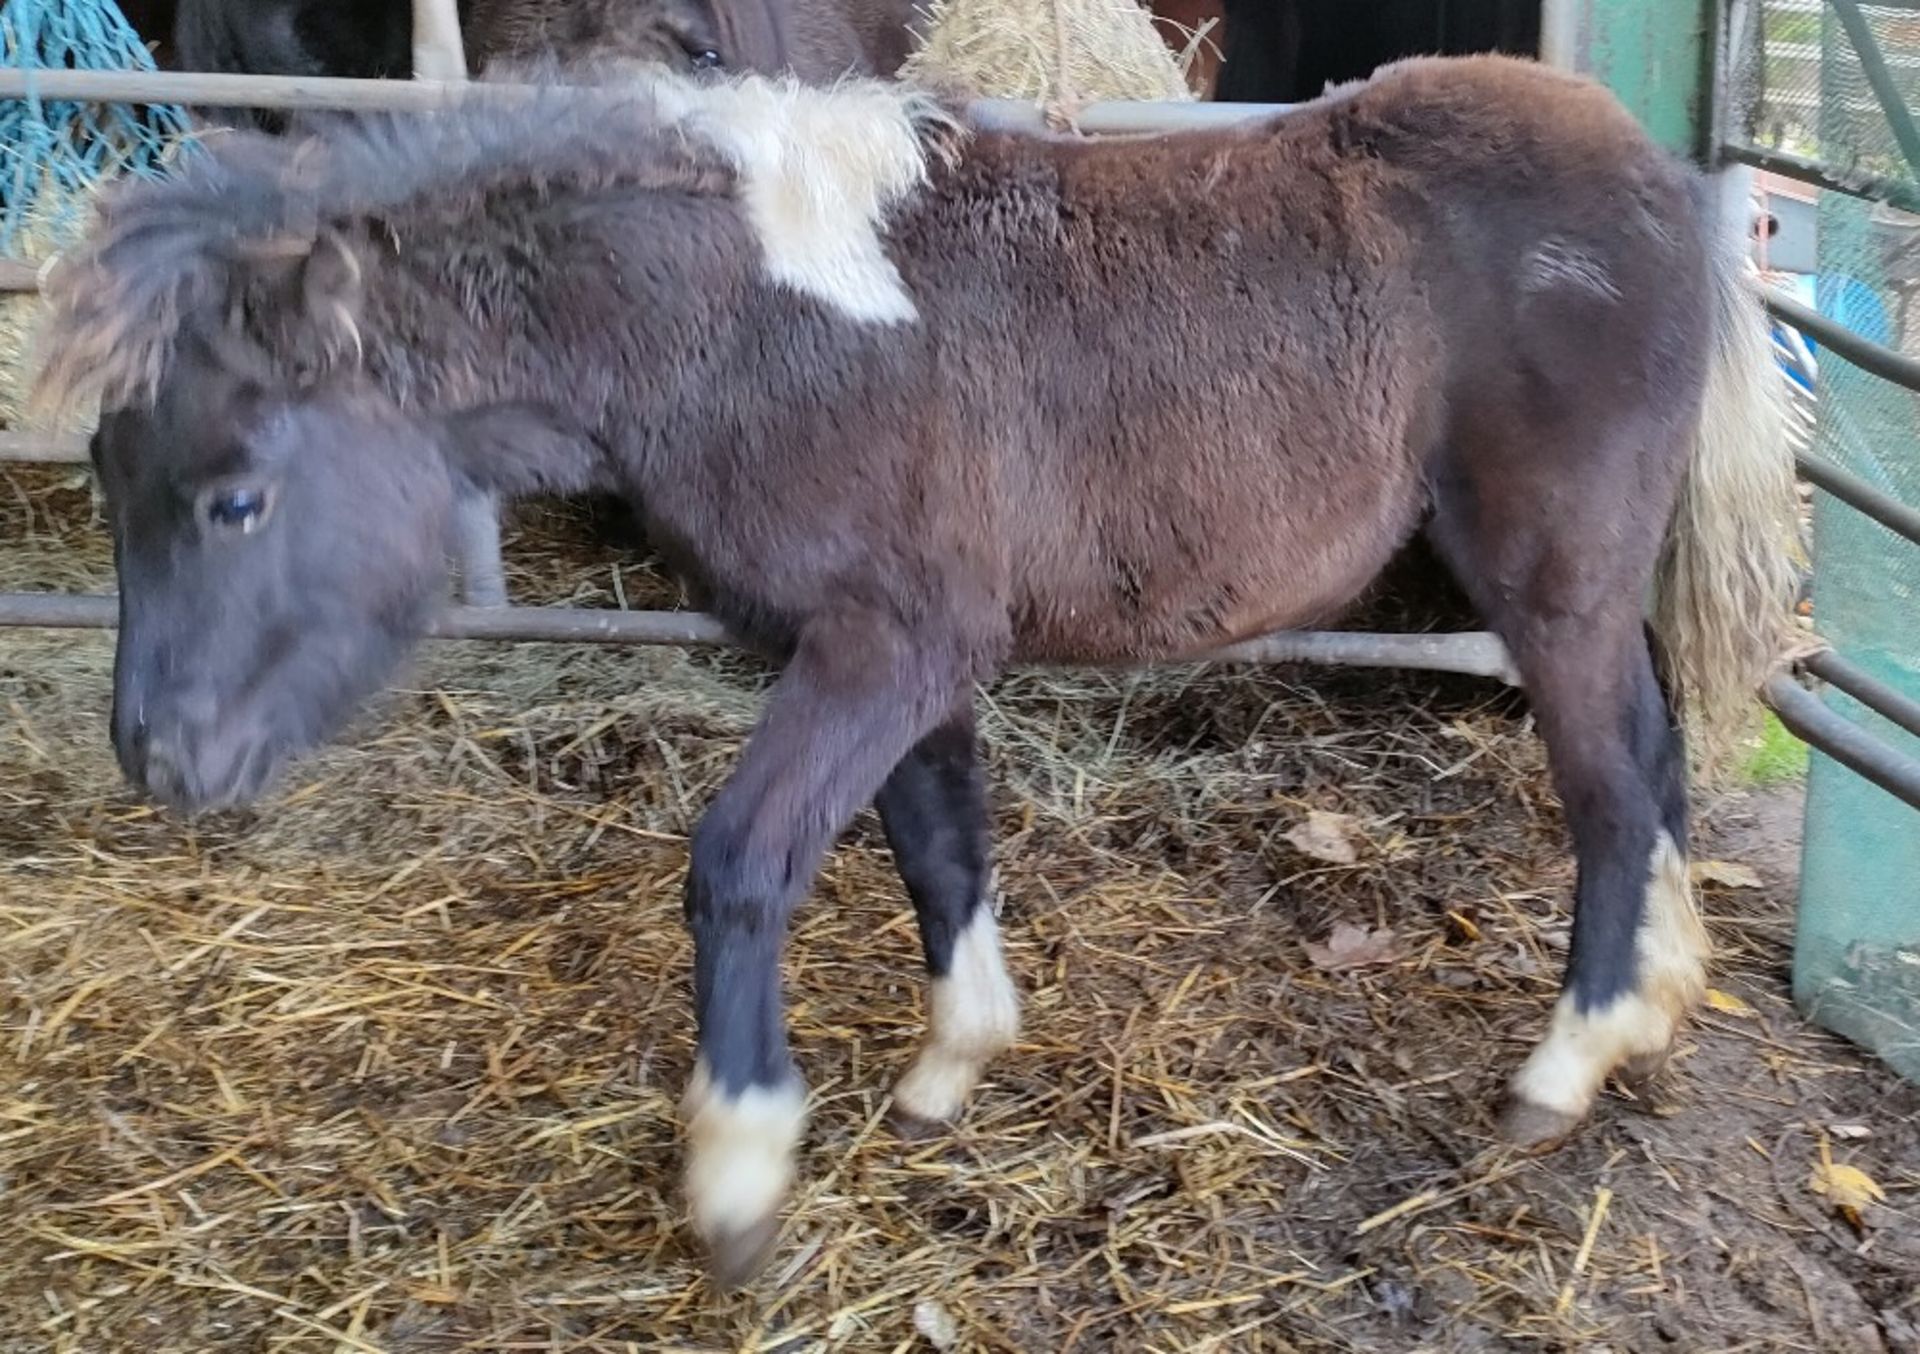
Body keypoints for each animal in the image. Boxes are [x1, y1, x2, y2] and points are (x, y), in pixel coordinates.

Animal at [33, 58, 1797, 1282]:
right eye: (111, 476)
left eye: (237, 494)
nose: (160, 756)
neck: (746, 319)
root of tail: (1654, 178)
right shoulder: (914, 648)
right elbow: (936, 839)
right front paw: (952, 1066)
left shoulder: (883, 643)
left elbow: (745, 859)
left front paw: (739, 1170)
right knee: (1656, 759)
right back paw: (1659, 998)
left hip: (1552, 579)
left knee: (1610, 785)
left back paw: (1562, 1070)